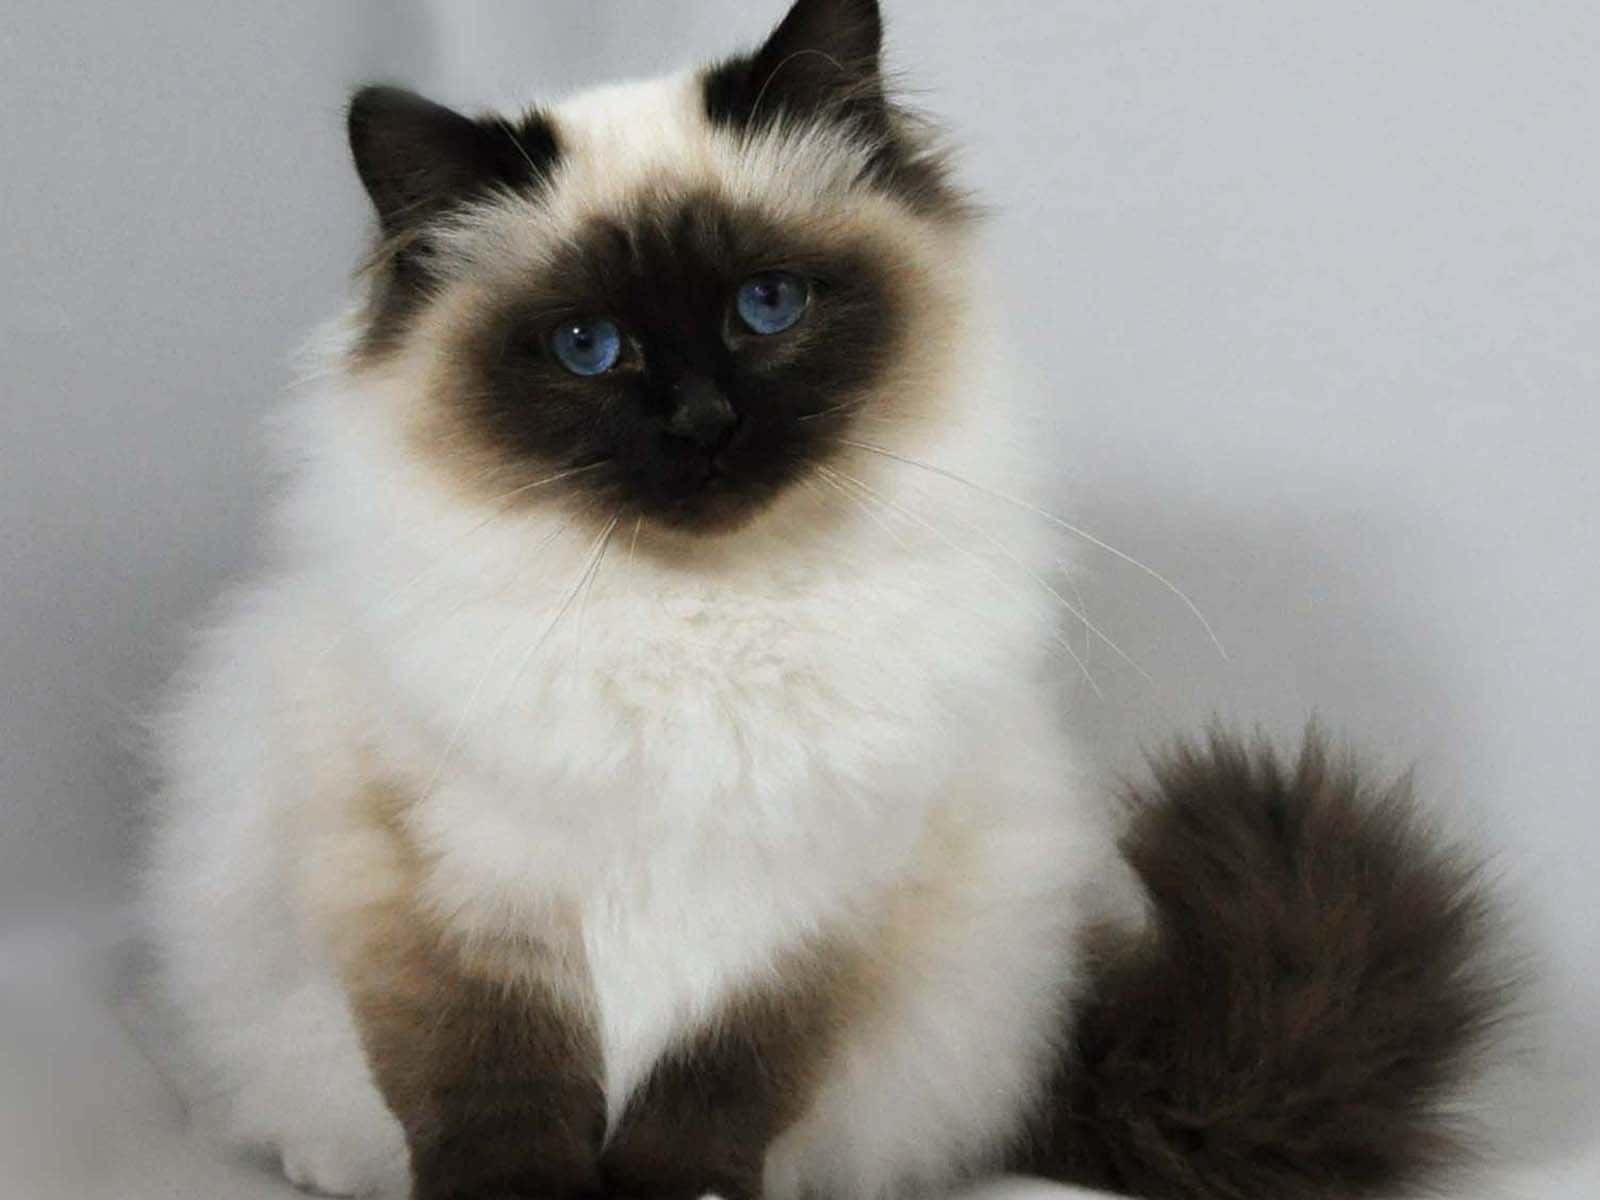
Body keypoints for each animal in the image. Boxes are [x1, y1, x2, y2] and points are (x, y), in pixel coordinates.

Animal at [144, 2, 1504, 1200]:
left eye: (767, 306)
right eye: (589, 347)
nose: (703, 424)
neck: (700, 617)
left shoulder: (825, 905)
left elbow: (717, 1090)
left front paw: (679, 1189)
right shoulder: (454, 888)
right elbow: (490, 1093)